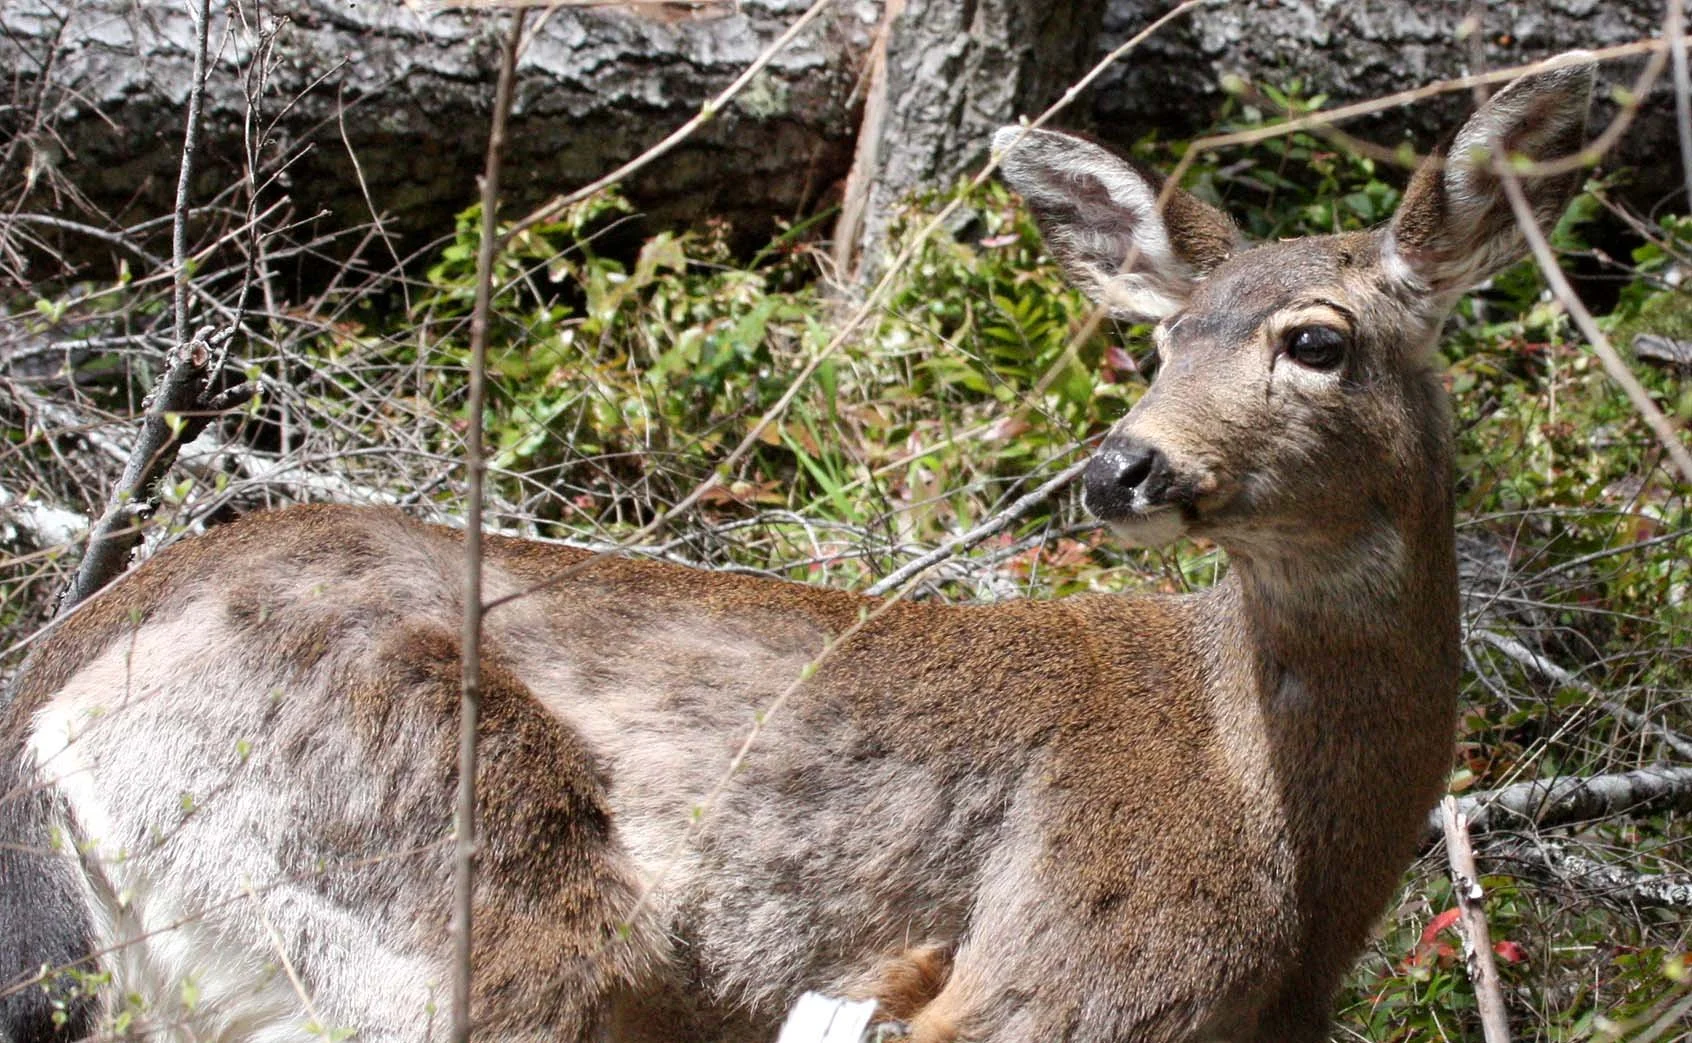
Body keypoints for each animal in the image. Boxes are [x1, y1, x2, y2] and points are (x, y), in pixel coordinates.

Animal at [0, 56, 1594, 1043]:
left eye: (1315, 340)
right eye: (1159, 339)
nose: (1119, 464)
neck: (1287, 838)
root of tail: (53, 686)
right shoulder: (1062, 965)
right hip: (440, 885)